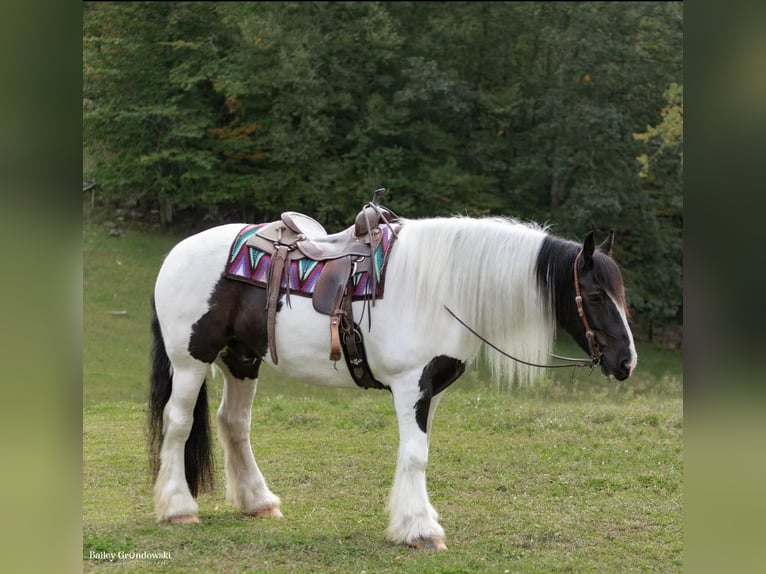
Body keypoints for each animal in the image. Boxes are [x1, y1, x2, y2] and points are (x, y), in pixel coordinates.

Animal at [147, 213, 640, 552]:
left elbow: (417, 454)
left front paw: (414, 521)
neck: (443, 289)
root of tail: (174, 254)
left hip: (242, 358)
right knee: (178, 424)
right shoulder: (411, 387)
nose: (626, 361)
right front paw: (419, 529)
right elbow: (416, 455)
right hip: (190, 360)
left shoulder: (431, 391)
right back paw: (178, 508)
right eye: (595, 295)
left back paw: (258, 501)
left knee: (234, 423)